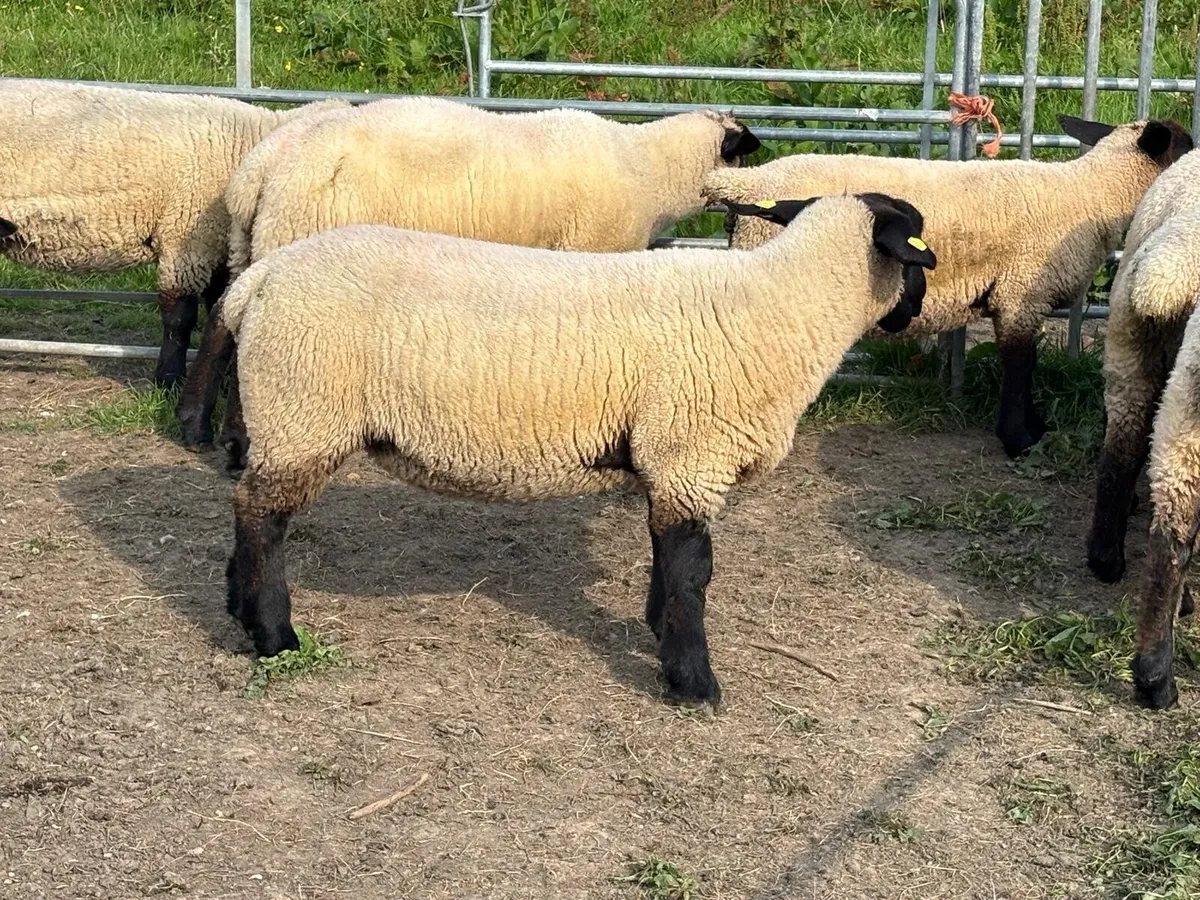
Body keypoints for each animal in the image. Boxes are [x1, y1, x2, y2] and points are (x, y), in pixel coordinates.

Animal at [0, 79, 346, 386]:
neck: (244, 149)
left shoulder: (216, 246)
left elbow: (217, 307)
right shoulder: (186, 240)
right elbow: (179, 316)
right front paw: (169, 379)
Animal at [176, 97, 762, 455]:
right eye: (743, 154)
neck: (648, 169)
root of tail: (265, 167)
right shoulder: (587, 252)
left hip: (252, 240)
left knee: (224, 321)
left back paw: (196, 425)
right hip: (297, 236)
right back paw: (236, 441)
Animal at [217, 191, 936, 705]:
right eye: (918, 249)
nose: (914, 314)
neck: (786, 307)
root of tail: (259, 279)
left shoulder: (669, 463)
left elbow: (667, 562)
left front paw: (658, 634)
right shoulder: (691, 456)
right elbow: (693, 572)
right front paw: (692, 682)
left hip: (290, 417)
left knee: (250, 511)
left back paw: (237, 606)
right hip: (303, 413)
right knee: (261, 518)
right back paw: (273, 634)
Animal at [703, 114, 1194, 459]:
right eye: (1187, 147)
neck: (1090, 195)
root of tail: (746, 182)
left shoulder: (1022, 299)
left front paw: (1034, 429)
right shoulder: (1020, 294)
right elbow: (1020, 366)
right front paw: (1020, 439)